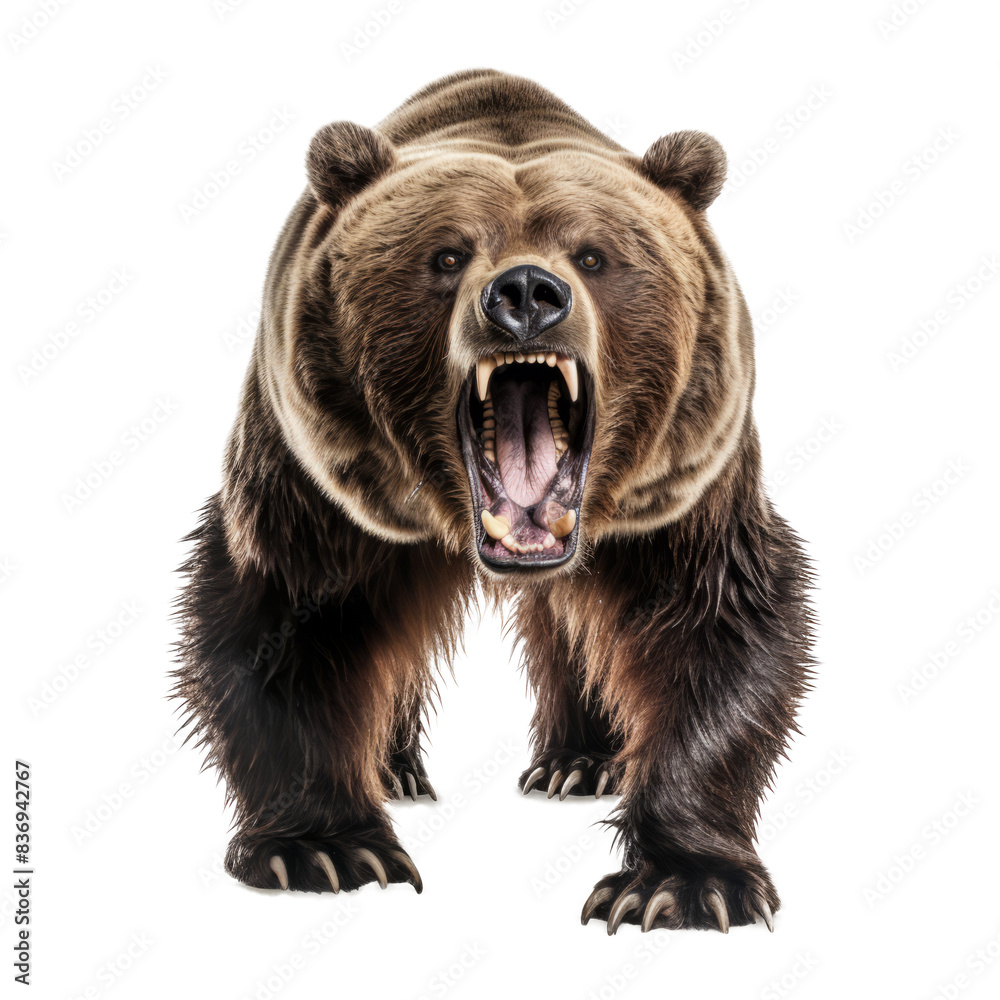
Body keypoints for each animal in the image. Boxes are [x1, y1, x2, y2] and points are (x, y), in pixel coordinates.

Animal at [173, 68, 813, 934]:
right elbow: (284, 622)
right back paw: (397, 769)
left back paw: (580, 762)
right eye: (446, 254)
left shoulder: (682, 494)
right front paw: (323, 848)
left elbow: (718, 627)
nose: (527, 292)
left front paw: (684, 881)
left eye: (594, 254)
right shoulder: (320, 480)